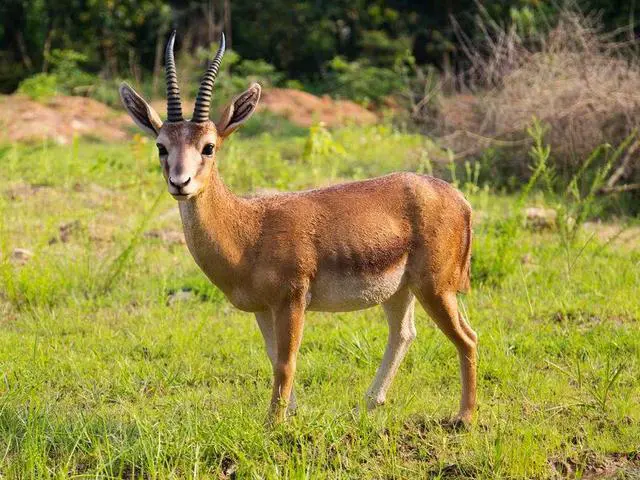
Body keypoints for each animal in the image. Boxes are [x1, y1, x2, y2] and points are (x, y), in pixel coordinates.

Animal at [119, 32, 477, 424]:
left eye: (208, 146)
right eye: (161, 146)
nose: (179, 183)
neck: (249, 230)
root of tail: (458, 199)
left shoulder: (292, 301)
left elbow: (286, 363)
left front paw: (273, 424)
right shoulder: (263, 309)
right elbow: (274, 359)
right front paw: (290, 415)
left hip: (436, 288)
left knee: (467, 338)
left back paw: (464, 417)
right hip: (400, 291)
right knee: (403, 334)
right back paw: (370, 404)